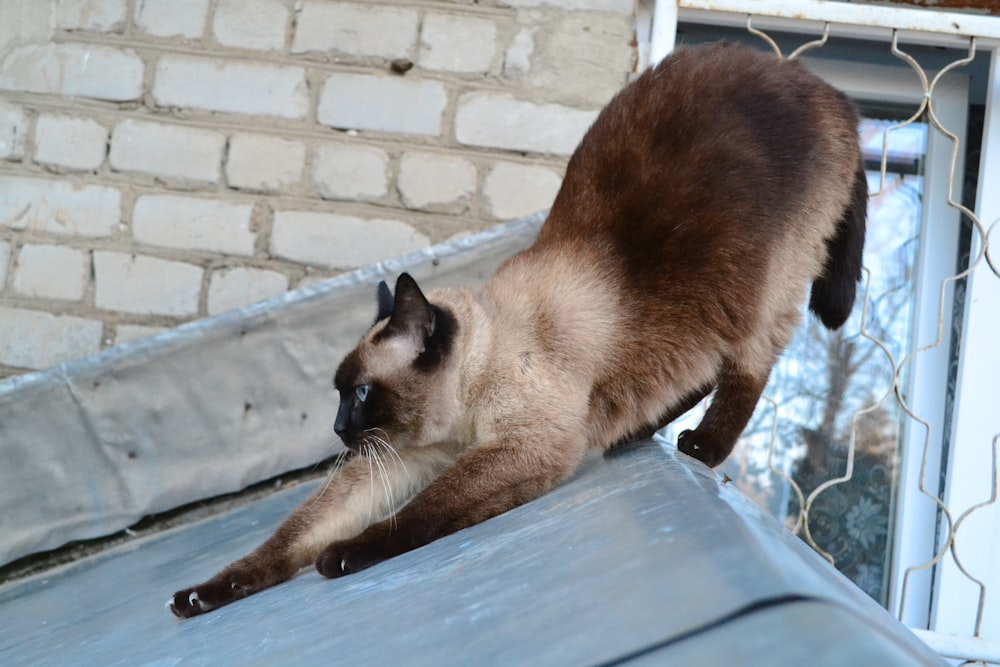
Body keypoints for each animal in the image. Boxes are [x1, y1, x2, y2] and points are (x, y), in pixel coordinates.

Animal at [168, 40, 864, 616]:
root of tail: (821, 86)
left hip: (758, 288)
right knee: (686, 375)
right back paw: (635, 431)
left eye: (359, 393)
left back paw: (700, 447)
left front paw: (344, 557)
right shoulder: (396, 460)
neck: (464, 413)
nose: (338, 429)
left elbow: (421, 514)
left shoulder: (523, 446)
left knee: (751, 366)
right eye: (339, 397)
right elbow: (292, 536)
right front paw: (202, 596)